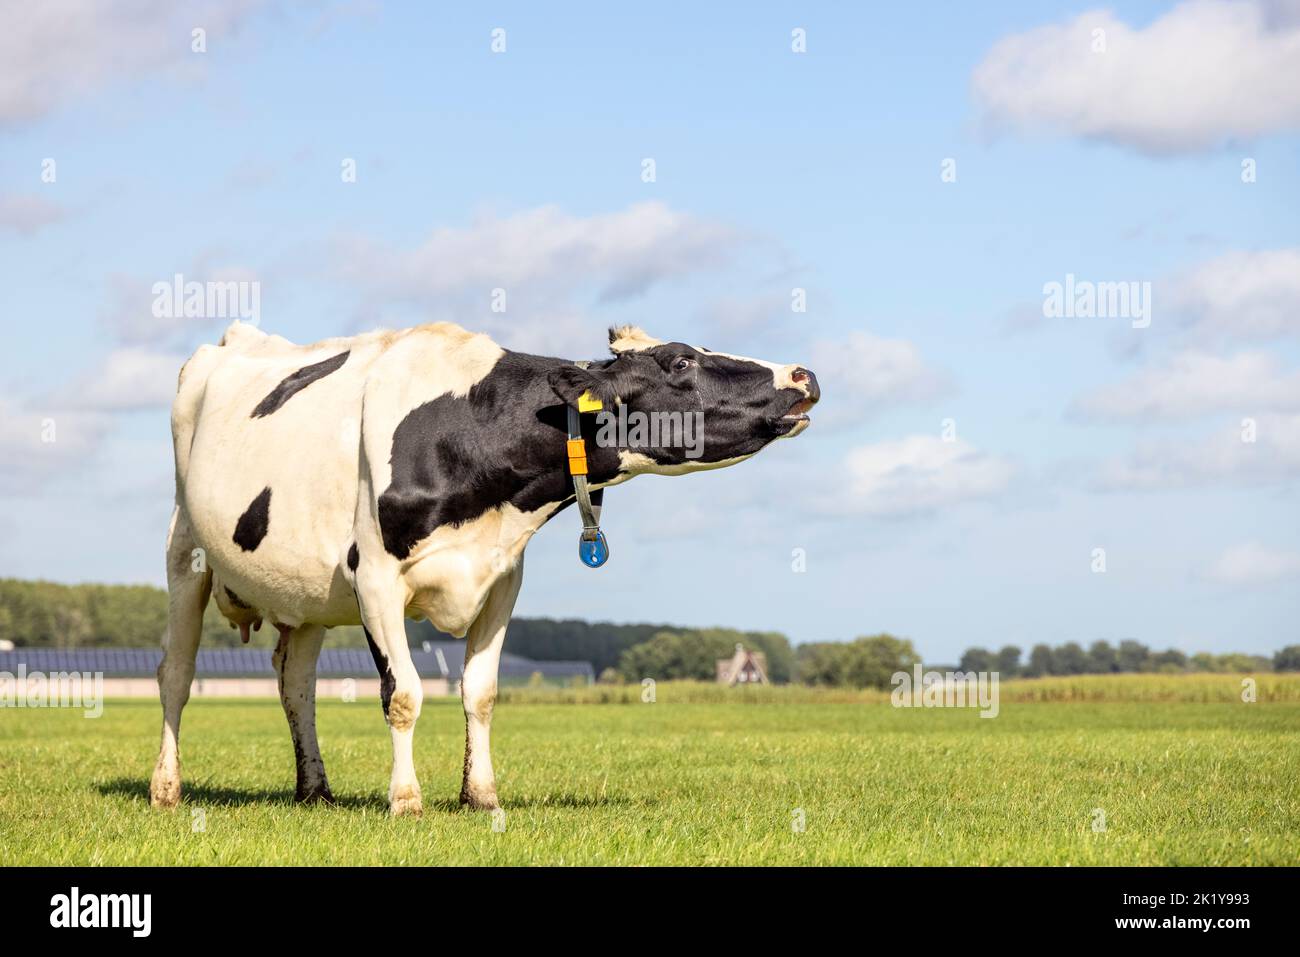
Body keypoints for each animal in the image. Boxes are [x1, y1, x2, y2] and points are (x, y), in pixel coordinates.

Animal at [152, 321, 816, 816]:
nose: (802, 374)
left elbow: (481, 692)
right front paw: (407, 801)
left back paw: (314, 790)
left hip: (303, 590)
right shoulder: (376, 579)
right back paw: (166, 788)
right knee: (176, 674)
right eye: (679, 361)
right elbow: (404, 693)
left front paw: (481, 796)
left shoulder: (502, 581)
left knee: (296, 682)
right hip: (185, 549)